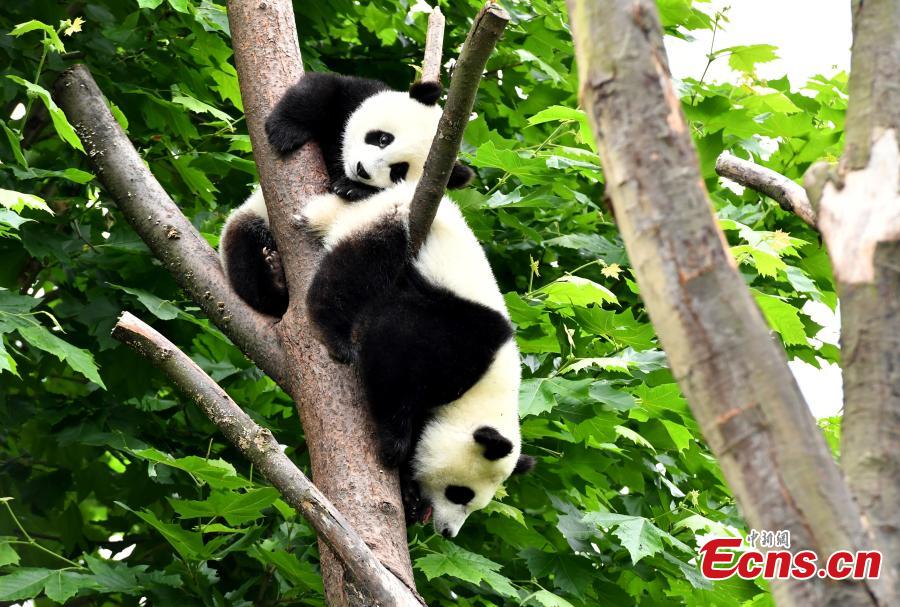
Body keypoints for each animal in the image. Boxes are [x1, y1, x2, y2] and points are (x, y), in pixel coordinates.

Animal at [220, 72, 474, 316]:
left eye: (398, 171)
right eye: (383, 139)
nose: (362, 170)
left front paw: (350, 188)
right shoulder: (361, 95)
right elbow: (325, 90)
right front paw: (286, 130)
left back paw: (277, 280)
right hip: (250, 219)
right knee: (244, 252)